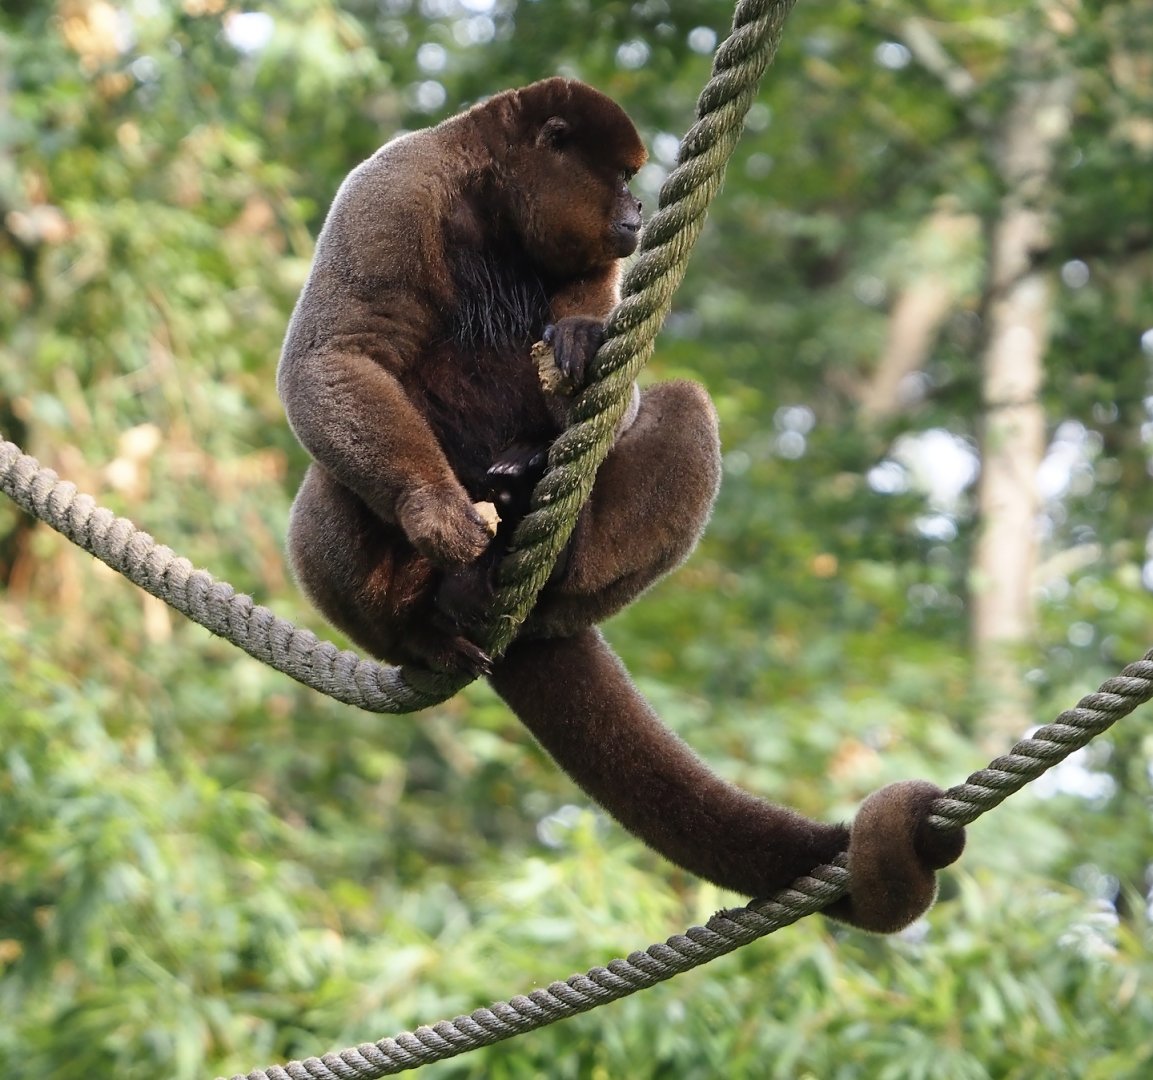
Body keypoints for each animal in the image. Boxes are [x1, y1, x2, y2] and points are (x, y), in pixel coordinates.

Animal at [277, 78, 964, 932]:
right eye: (622, 175)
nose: (638, 208)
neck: (491, 208)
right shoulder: (393, 186)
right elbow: (334, 354)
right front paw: (434, 509)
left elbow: (617, 381)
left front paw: (574, 346)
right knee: (326, 487)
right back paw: (429, 624)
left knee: (682, 406)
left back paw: (544, 535)